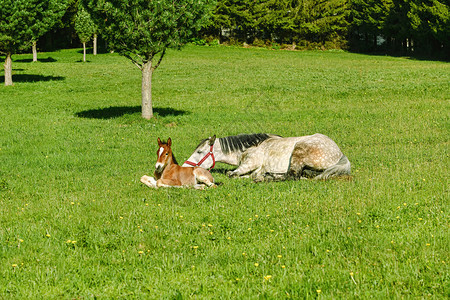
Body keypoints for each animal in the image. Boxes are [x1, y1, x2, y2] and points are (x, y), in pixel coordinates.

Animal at [183, 133, 352, 180]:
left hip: (299, 151)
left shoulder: (248, 164)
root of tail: (340, 154)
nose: (184, 167)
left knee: (292, 176)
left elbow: (231, 174)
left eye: (199, 152)